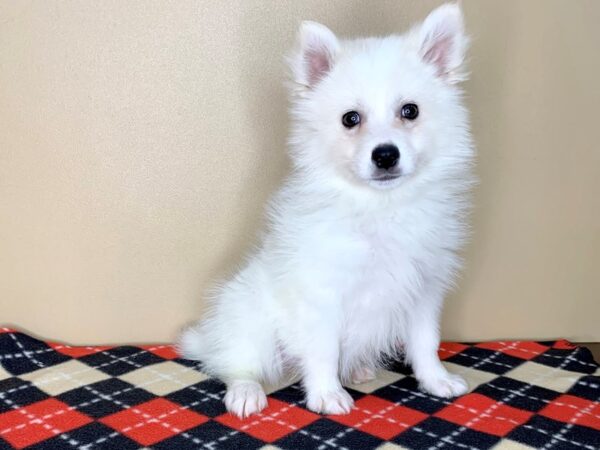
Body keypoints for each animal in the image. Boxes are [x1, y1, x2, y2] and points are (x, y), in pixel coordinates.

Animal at [178, 2, 474, 418]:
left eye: (410, 111)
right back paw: (246, 392)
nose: (385, 154)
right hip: (251, 323)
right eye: (351, 119)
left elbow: (425, 343)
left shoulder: (424, 290)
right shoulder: (322, 294)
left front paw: (436, 380)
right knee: (238, 364)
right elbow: (323, 351)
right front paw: (326, 395)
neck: (380, 206)